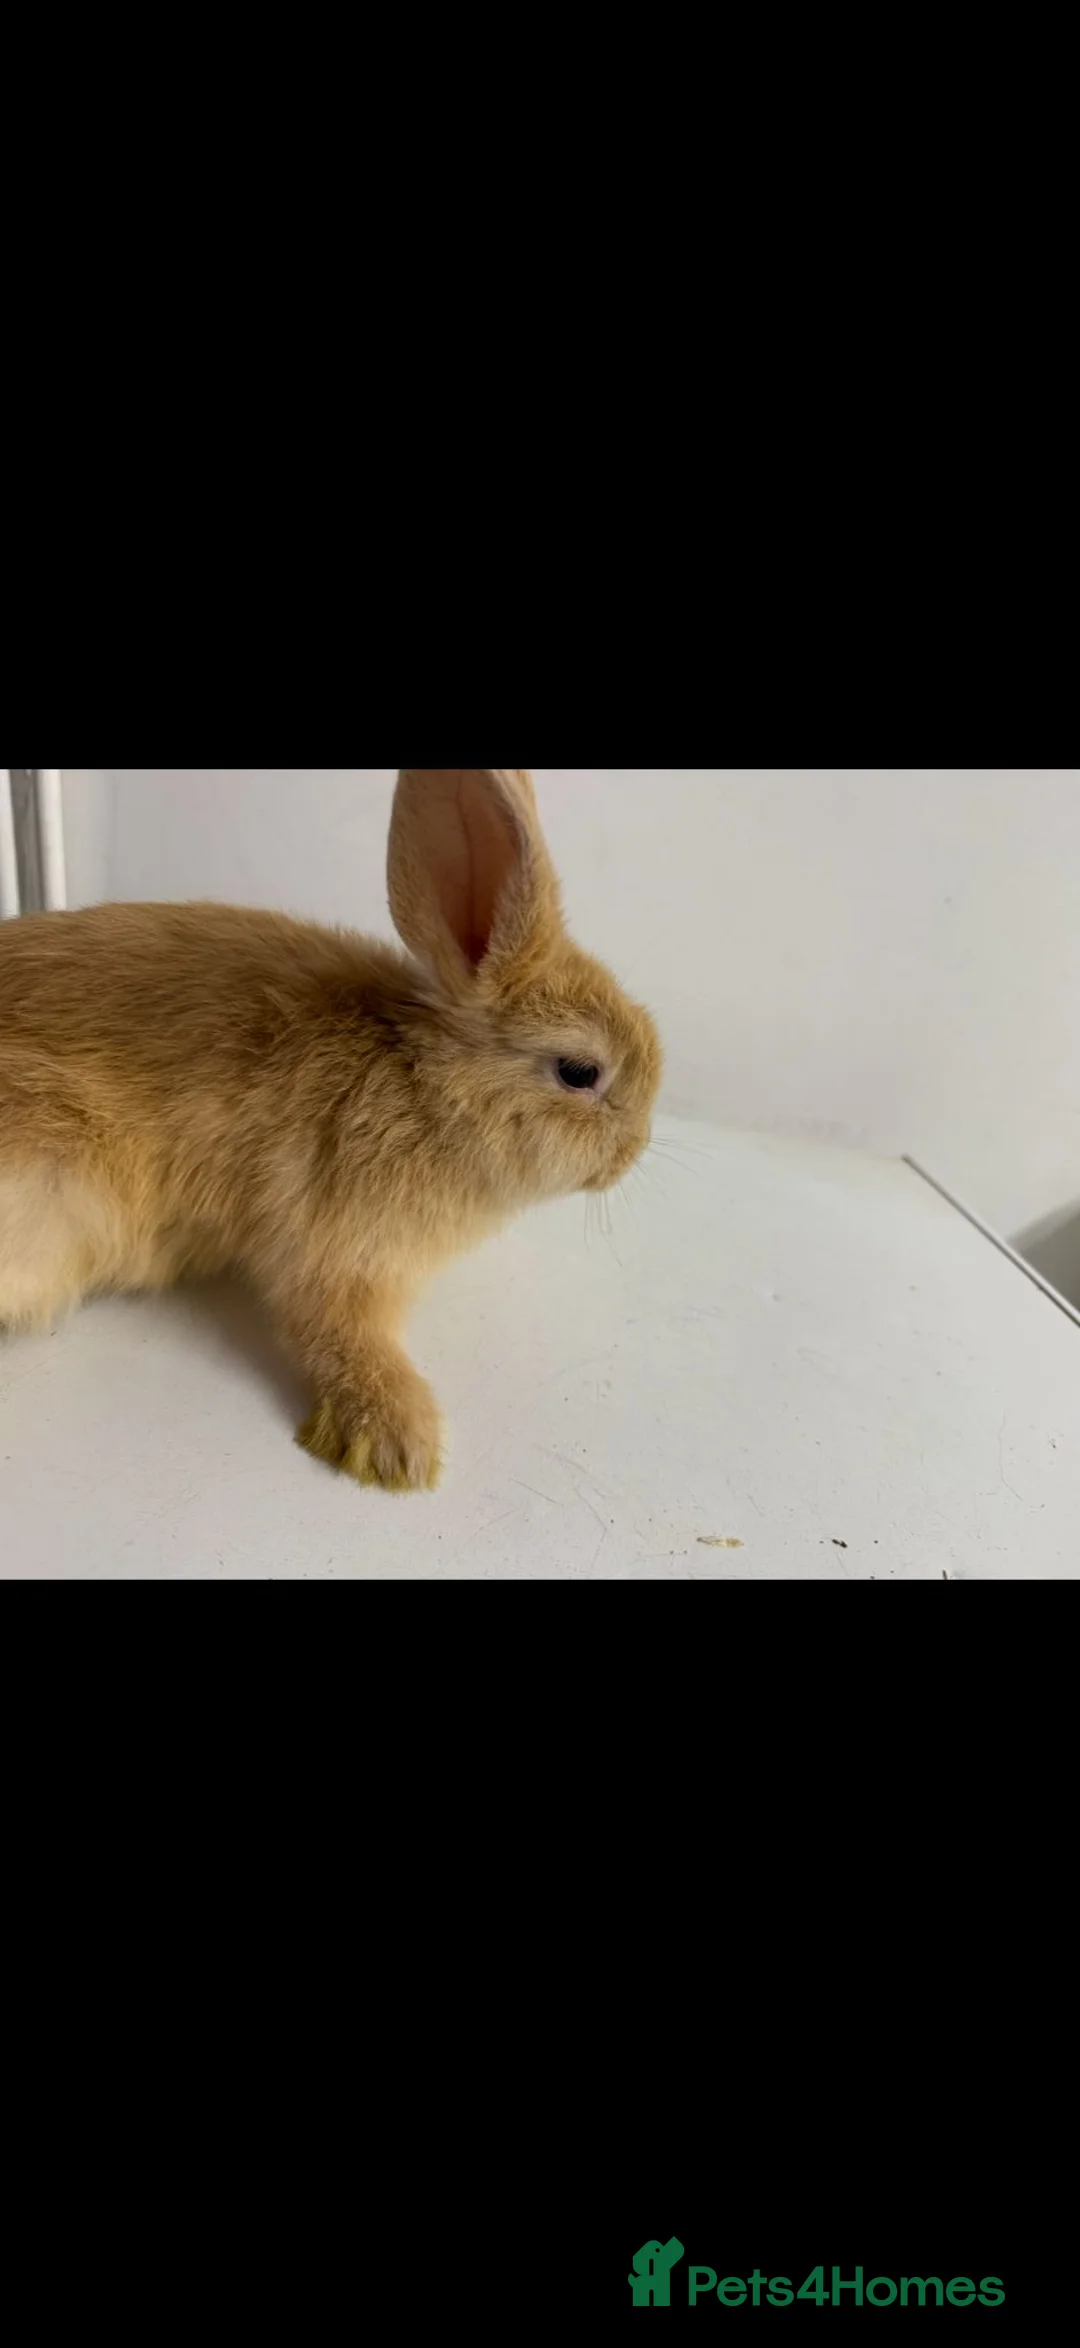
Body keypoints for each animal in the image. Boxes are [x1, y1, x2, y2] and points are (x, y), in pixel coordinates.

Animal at [0, 767, 663, 1490]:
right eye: (580, 1072)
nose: (632, 1153)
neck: (425, 1084)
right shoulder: (338, 1252)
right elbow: (339, 1333)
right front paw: (398, 1444)